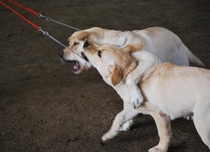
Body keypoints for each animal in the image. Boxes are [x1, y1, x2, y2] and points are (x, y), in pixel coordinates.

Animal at [82, 43, 210, 151]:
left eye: (99, 53)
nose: (85, 43)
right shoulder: (134, 108)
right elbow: (119, 117)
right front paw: (109, 135)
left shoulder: (159, 114)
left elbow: (163, 134)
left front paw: (160, 149)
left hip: (202, 125)